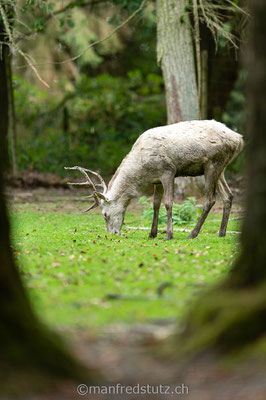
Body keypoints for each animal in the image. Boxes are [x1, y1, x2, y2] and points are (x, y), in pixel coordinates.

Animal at [66, 119, 243, 241]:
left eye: (104, 214)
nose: (113, 234)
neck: (141, 170)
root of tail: (239, 139)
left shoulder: (168, 171)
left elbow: (168, 203)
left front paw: (168, 235)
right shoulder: (156, 180)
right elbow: (155, 203)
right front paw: (152, 233)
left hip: (212, 164)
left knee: (210, 199)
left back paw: (193, 234)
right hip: (221, 169)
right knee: (228, 196)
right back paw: (221, 233)